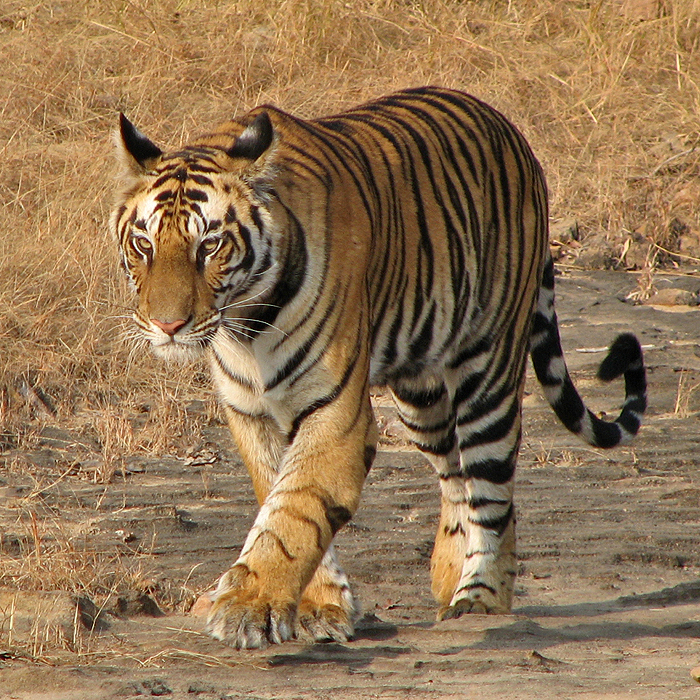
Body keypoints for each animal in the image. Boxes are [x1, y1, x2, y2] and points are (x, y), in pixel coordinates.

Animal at [109, 86, 644, 652]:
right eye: (144, 244)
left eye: (209, 245)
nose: (167, 325)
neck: (247, 326)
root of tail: (512, 132)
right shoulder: (251, 413)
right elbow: (281, 500)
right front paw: (320, 607)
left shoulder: (336, 413)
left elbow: (293, 513)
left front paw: (249, 605)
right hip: (421, 395)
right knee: (455, 479)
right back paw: (448, 575)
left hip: (489, 370)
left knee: (492, 490)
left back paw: (480, 598)